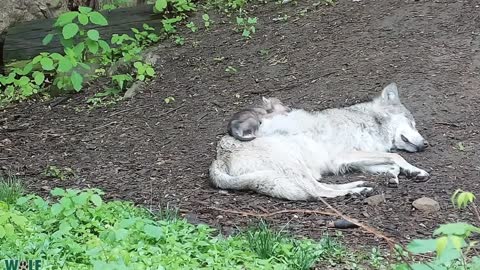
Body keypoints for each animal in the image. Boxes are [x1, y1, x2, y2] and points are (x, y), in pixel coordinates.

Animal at [210, 84, 432, 200]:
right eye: (412, 123)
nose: (426, 144)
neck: (368, 121)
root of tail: (217, 159)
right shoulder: (347, 155)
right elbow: (396, 156)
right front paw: (417, 171)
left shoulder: (352, 160)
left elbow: (392, 164)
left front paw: (398, 175)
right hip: (294, 165)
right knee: (316, 192)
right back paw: (357, 190)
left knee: (321, 187)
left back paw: (359, 185)